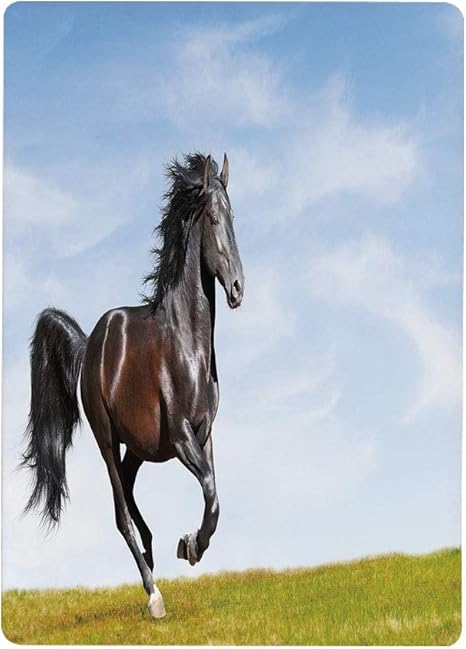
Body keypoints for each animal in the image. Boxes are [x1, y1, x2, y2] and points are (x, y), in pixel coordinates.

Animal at [21, 153, 244, 618]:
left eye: (234, 217)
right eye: (214, 218)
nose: (237, 289)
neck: (188, 345)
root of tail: (88, 344)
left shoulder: (205, 434)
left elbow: (215, 497)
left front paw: (188, 544)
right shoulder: (181, 436)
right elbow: (210, 490)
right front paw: (189, 545)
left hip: (139, 446)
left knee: (127, 486)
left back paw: (153, 549)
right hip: (107, 438)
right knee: (120, 510)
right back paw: (153, 591)